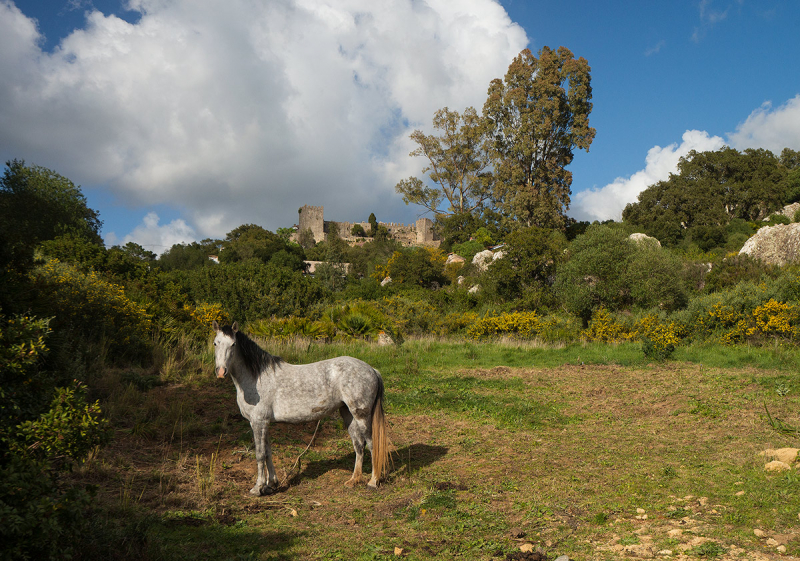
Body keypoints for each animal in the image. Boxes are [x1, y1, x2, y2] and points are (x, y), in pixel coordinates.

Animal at [211, 322, 390, 492]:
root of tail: (372, 369)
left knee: (372, 444)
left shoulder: (258, 422)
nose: (221, 371)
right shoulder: (264, 423)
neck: (257, 378)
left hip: (362, 415)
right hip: (347, 413)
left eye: (233, 344)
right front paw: (271, 485)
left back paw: (373, 482)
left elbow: (260, 454)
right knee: (358, 444)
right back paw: (354, 480)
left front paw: (258, 487)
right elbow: (268, 452)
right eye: (215, 343)